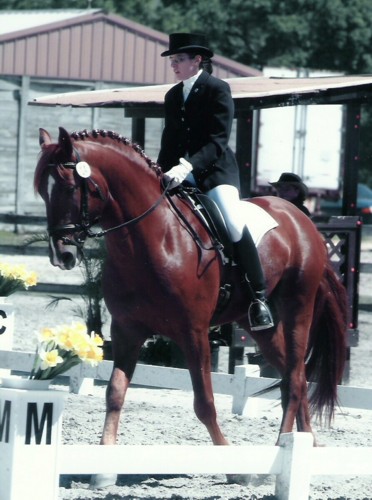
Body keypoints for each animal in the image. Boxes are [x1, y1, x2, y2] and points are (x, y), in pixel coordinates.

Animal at [33, 127, 348, 474]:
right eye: (43, 192)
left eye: (70, 187)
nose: (62, 255)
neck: (151, 241)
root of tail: (302, 219)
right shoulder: (126, 330)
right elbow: (114, 393)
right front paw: (103, 465)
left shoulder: (194, 333)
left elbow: (205, 403)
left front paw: (232, 465)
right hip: (256, 324)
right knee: (297, 376)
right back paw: (307, 443)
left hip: (298, 308)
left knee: (293, 377)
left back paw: (282, 445)